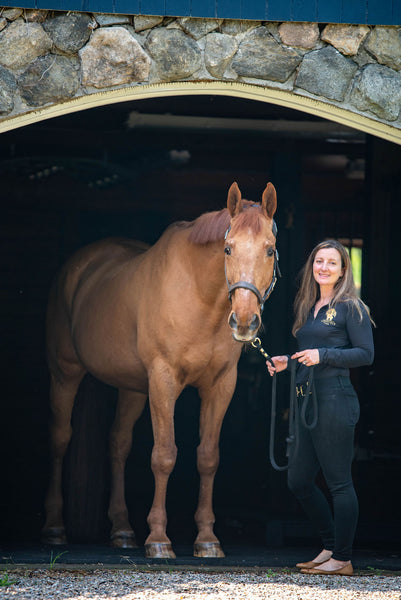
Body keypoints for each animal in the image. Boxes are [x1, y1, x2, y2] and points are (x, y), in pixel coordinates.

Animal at [41, 180, 278, 560]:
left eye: (269, 250)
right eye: (227, 249)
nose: (244, 321)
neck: (200, 296)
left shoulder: (220, 385)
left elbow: (208, 457)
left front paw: (207, 539)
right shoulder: (164, 380)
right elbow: (164, 455)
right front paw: (158, 539)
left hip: (132, 388)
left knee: (118, 444)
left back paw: (123, 530)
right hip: (65, 373)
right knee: (61, 438)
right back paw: (54, 527)